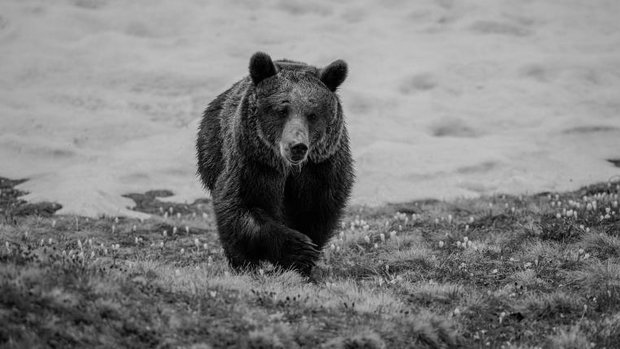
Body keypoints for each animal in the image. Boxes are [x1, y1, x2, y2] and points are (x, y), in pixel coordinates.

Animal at [197, 51, 354, 274]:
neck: (289, 169)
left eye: (313, 113)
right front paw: (299, 248)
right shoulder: (253, 165)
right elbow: (240, 208)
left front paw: (305, 259)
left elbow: (316, 212)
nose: (297, 146)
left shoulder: (321, 170)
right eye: (282, 110)